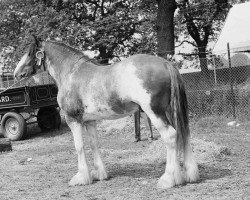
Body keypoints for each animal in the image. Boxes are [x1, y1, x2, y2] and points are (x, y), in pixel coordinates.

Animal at [14, 35, 199, 189]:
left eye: (30, 53)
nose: (16, 73)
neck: (71, 73)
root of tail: (166, 64)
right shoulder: (90, 121)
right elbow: (94, 144)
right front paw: (99, 174)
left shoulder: (73, 119)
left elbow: (79, 146)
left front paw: (81, 177)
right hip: (169, 111)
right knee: (183, 133)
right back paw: (186, 175)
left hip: (155, 113)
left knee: (170, 136)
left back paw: (168, 179)